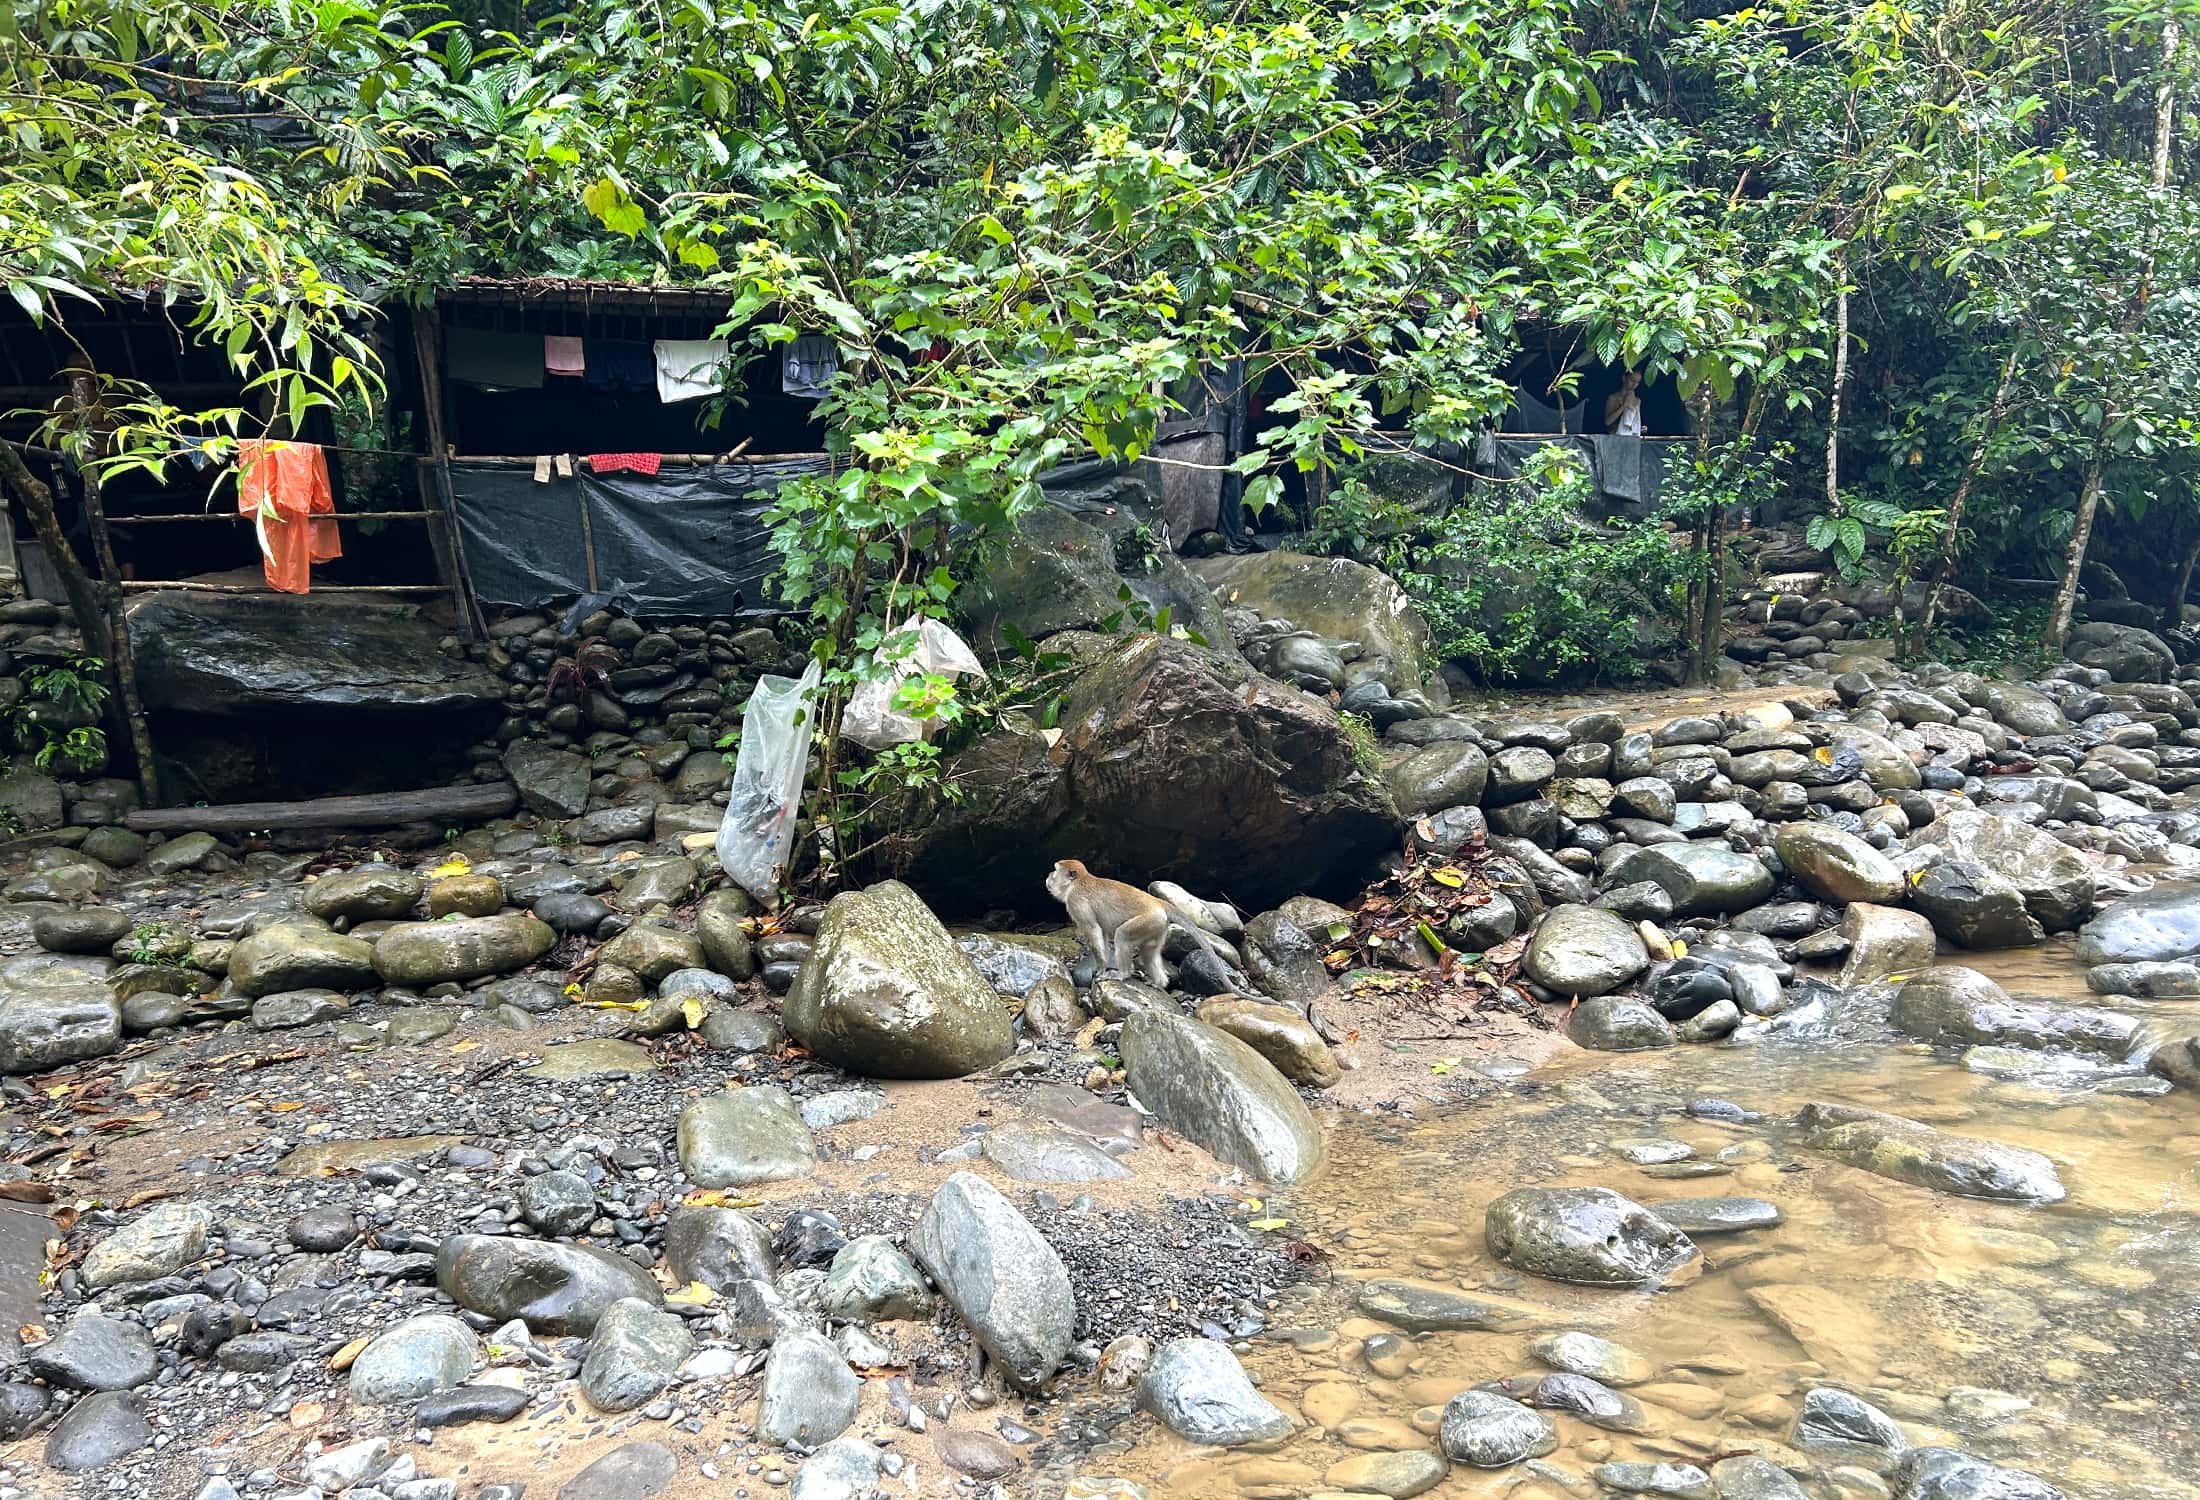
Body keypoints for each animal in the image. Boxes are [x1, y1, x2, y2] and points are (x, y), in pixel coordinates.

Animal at [1046, 859, 1238, 990]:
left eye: (1055, 871)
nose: (1048, 876)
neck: (1077, 882)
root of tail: (1157, 902)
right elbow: (1103, 934)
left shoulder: (1076, 901)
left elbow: (1093, 930)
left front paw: (1100, 969)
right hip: (1158, 926)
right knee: (1149, 952)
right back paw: (1160, 983)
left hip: (1147, 921)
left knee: (1122, 935)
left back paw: (1123, 974)